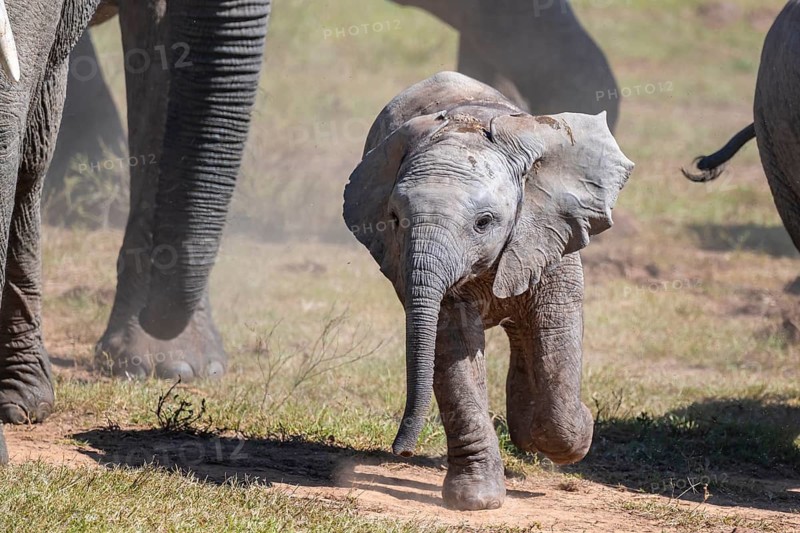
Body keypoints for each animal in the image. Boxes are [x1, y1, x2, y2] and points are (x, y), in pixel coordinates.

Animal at [343, 71, 634, 510]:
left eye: (484, 222)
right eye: (394, 218)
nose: (401, 450)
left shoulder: (551, 228)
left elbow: (556, 327)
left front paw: (580, 426)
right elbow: (451, 344)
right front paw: (475, 501)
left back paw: (528, 435)